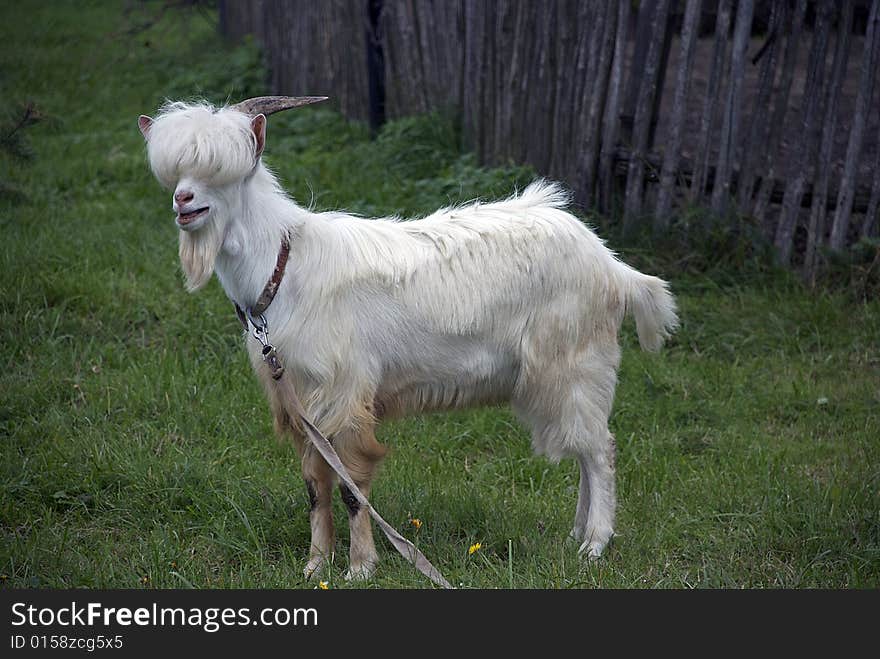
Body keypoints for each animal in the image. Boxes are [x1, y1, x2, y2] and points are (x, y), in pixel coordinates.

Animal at [138, 98, 676, 584]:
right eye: (177, 174)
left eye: (225, 173)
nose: (183, 201)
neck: (284, 266)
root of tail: (611, 266)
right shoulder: (300, 398)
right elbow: (315, 484)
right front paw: (315, 565)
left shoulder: (345, 392)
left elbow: (352, 485)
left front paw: (360, 568)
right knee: (585, 450)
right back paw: (575, 536)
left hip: (574, 363)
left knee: (599, 450)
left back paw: (595, 545)